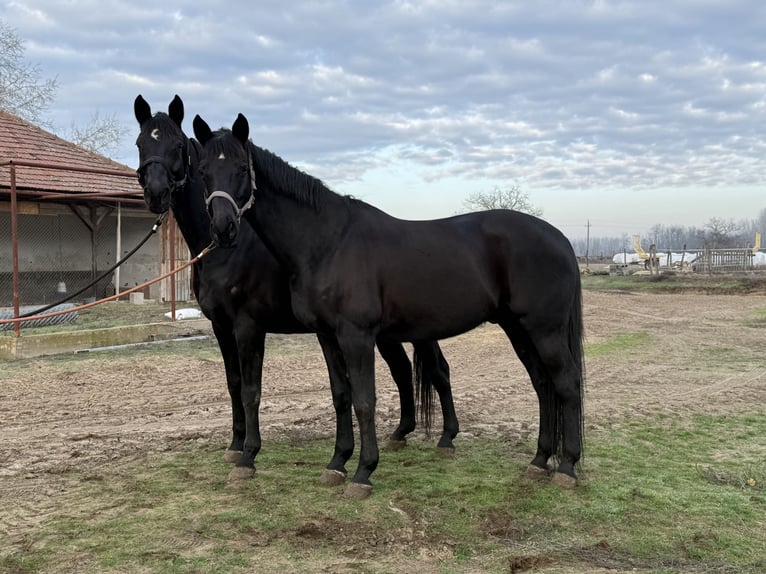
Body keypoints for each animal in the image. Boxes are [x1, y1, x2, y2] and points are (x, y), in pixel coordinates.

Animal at [134, 96, 459, 482]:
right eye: (141, 144)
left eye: (178, 147)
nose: (155, 193)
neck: (228, 251)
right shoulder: (221, 327)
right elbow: (233, 383)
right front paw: (235, 446)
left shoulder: (248, 326)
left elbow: (251, 390)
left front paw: (249, 455)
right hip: (387, 334)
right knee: (403, 371)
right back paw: (400, 433)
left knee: (438, 371)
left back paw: (447, 437)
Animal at [193, 112, 585, 499]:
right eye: (203, 171)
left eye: (241, 168)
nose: (223, 229)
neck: (328, 242)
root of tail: (562, 240)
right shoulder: (327, 335)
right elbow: (341, 396)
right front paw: (337, 463)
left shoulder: (356, 335)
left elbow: (364, 400)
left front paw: (363, 473)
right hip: (517, 328)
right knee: (542, 384)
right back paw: (539, 461)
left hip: (544, 329)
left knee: (566, 383)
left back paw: (567, 467)